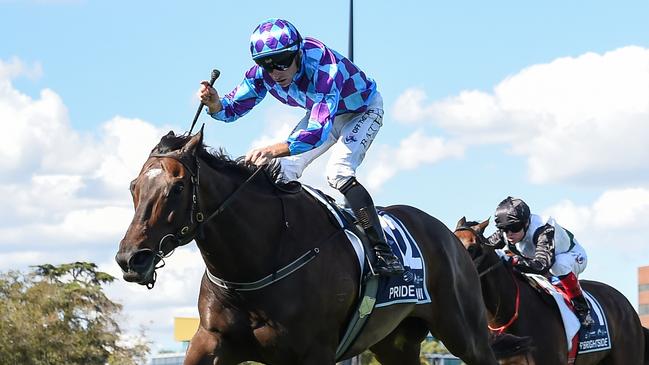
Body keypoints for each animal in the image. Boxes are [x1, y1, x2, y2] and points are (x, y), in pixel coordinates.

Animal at [114, 131, 496, 364]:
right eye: (133, 186)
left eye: (177, 188)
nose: (131, 258)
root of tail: (449, 235)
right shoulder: (211, 341)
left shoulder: (315, 352)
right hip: (395, 342)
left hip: (466, 333)